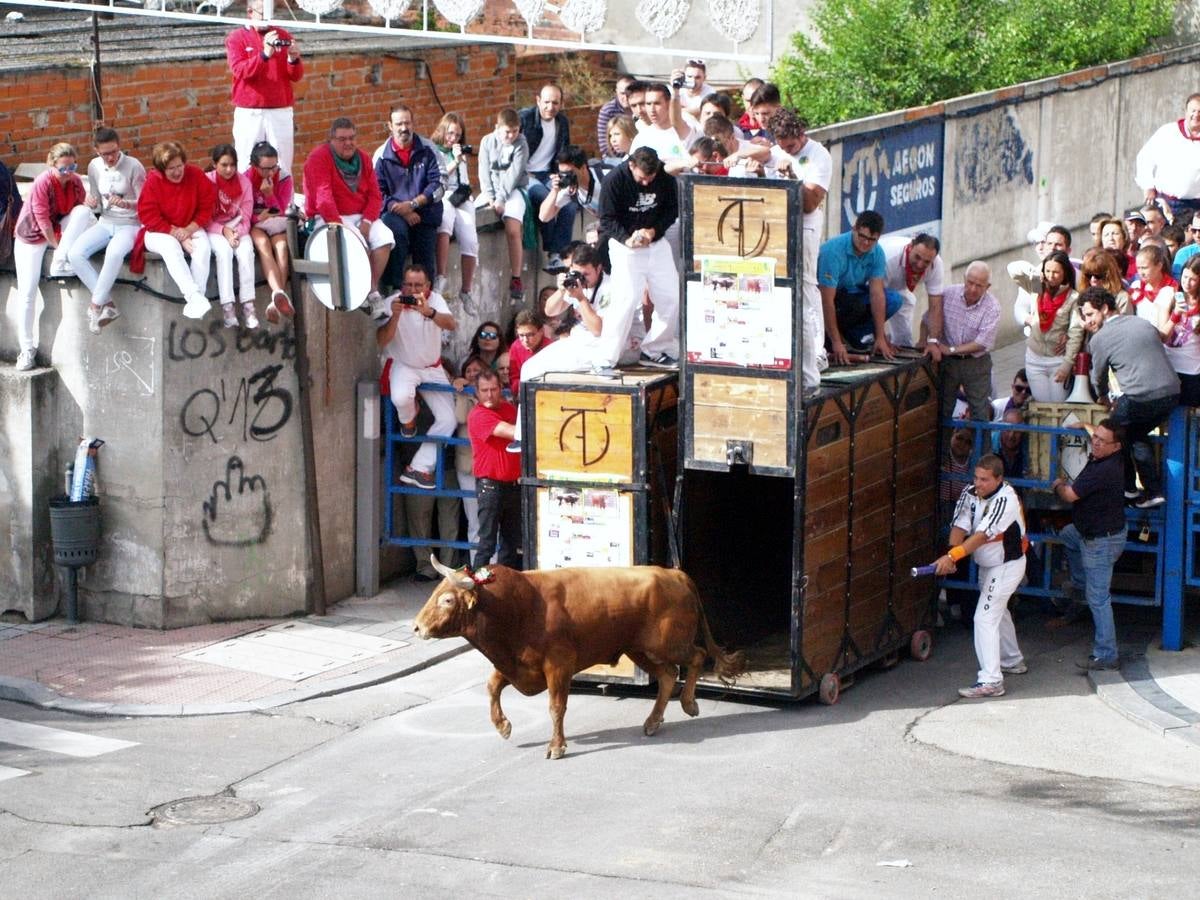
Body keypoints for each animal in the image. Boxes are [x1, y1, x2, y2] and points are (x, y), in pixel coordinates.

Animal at [417, 556, 744, 763]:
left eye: (447, 599)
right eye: (435, 592)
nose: (417, 627)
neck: (520, 606)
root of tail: (674, 573)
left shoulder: (558, 665)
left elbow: (556, 707)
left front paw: (556, 746)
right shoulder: (513, 664)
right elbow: (492, 687)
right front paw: (503, 726)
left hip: (669, 643)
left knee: (697, 656)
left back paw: (689, 704)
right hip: (638, 649)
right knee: (667, 675)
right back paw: (653, 722)